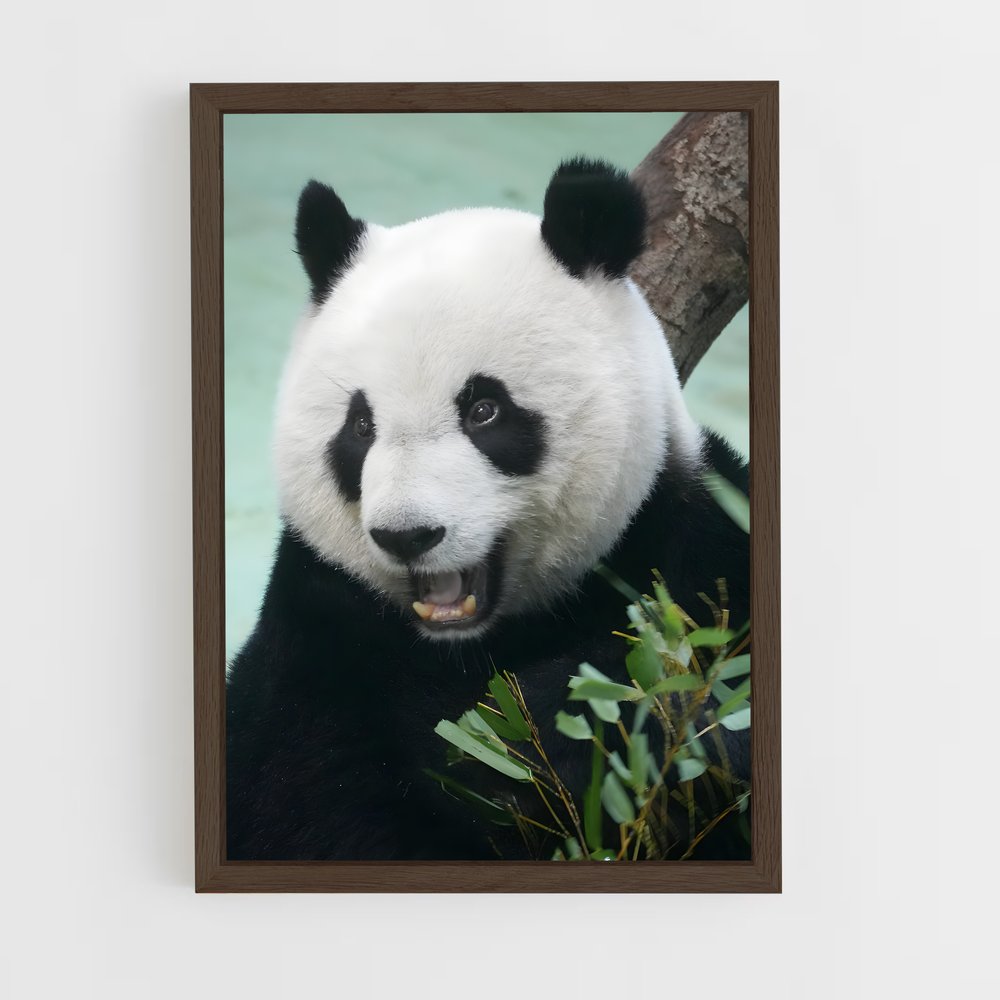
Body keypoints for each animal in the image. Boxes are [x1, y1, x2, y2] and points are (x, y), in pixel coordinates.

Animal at [226, 158, 750, 862]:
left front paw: (527, 733)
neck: (469, 643)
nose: (408, 535)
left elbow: (687, 691)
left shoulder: (690, 547)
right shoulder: (319, 630)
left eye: (484, 410)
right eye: (360, 426)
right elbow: (308, 796)